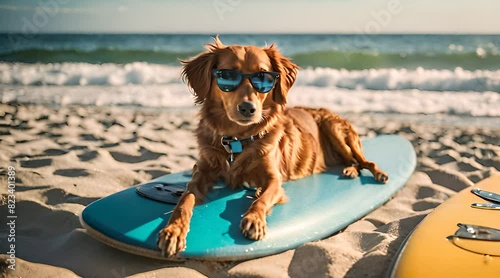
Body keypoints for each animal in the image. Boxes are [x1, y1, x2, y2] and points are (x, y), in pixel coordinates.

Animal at [158, 36, 388, 256]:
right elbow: (185, 200)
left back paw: (371, 172)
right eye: (227, 76)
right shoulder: (202, 171)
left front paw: (254, 219)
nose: (248, 108)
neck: (237, 141)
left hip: (334, 128)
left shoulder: (274, 179)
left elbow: (263, 199)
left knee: (364, 161)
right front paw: (174, 230)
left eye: (263, 77)